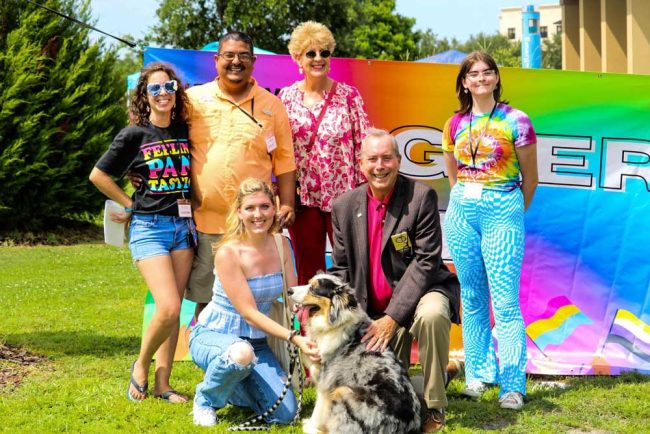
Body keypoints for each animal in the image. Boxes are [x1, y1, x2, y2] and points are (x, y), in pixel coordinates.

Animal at [288, 272, 420, 432]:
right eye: (308, 283)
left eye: (313, 289)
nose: (289, 290)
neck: (334, 324)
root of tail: (408, 426)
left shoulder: (327, 380)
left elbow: (319, 408)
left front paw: (311, 426)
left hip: (344, 392)